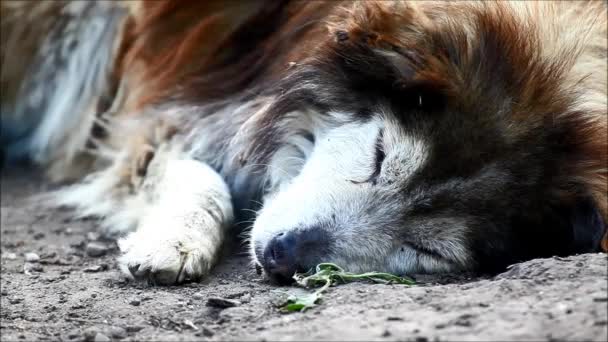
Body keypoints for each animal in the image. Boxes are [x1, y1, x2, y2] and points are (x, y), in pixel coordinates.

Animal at [2, 0, 604, 284]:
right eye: (379, 157)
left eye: (428, 251)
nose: (282, 257)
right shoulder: (167, 109)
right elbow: (202, 174)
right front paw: (173, 240)